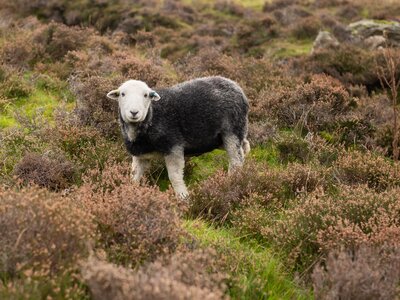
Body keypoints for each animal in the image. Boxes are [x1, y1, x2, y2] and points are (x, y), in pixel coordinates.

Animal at [106, 76, 250, 199]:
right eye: (122, 94)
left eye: (146, 95)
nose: (134, 112)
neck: (152, 117)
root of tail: (236, 86)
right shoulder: (140, 155)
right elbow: (134, 176)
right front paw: (129, 192)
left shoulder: (173, 147)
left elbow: (174, 177)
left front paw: (183, 198)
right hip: (222, 138)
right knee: (244, 149)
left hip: (232, 131)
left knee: (236, 161)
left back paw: (231, 182)